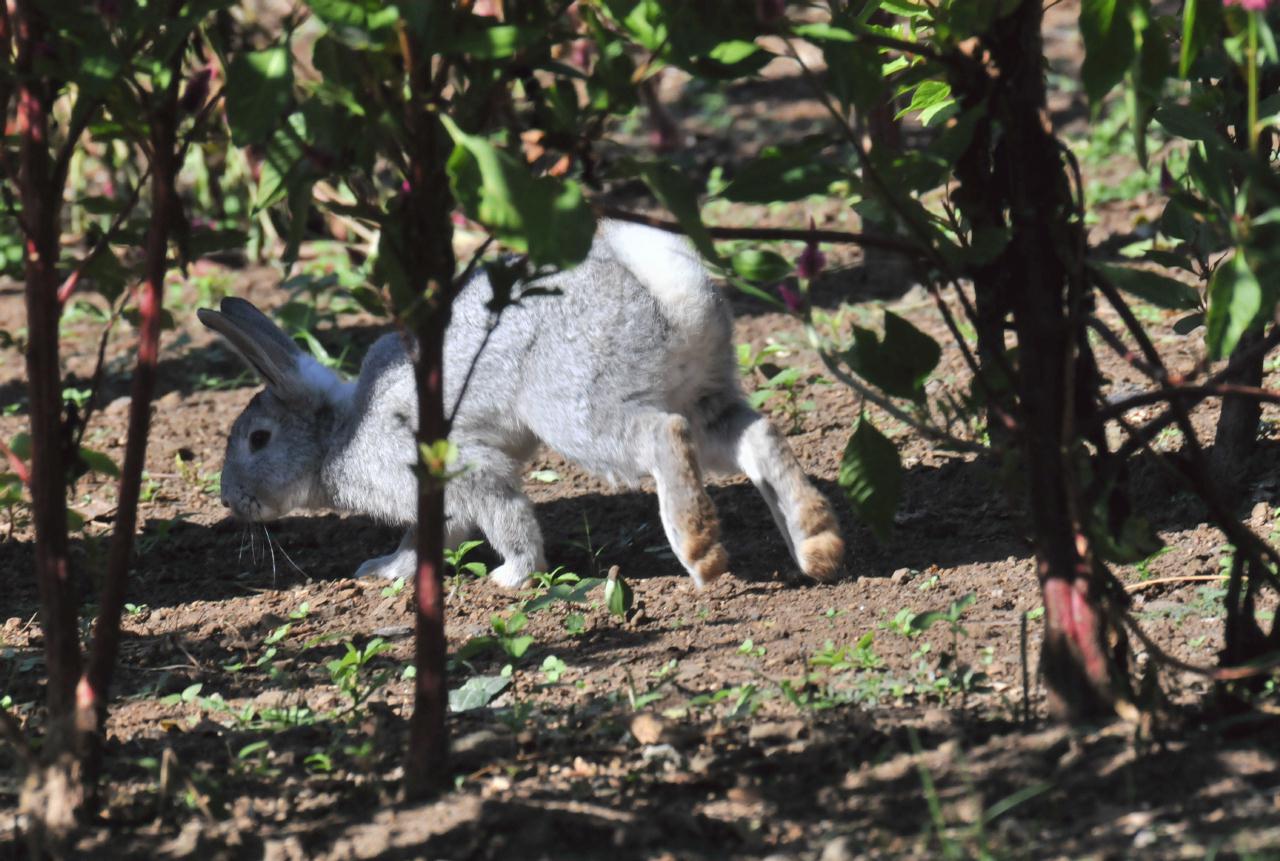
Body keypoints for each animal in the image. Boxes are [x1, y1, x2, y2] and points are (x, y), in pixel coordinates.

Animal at [197, 218, 839, 588]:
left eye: (258, 439)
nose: (230, 500)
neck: (341, 432)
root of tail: (668, 298)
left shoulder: (461, 469)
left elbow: (506, 517)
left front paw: (514, 576)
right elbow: (424, 542)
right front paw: (385, 572)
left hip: (577, 412)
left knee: (666, 434)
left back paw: (700, 551)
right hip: (705, 394)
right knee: (755, 433)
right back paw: (817, 546)